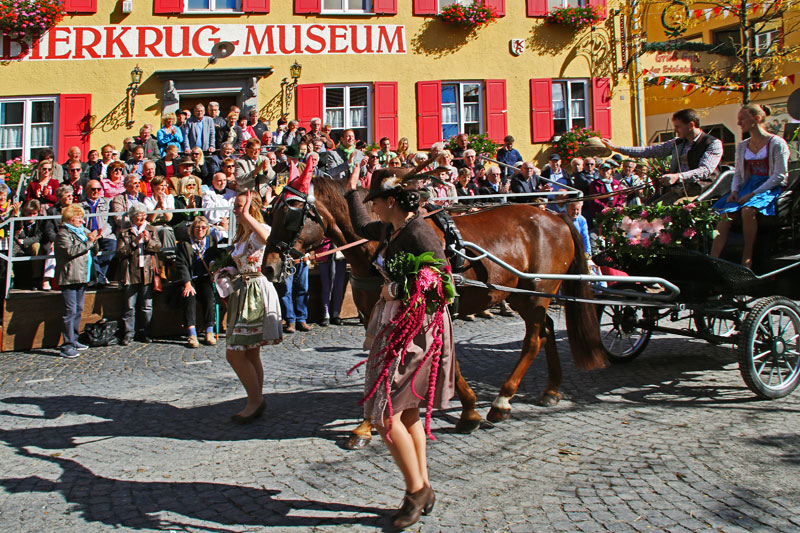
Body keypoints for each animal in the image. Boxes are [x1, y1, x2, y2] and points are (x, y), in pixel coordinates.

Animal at [262, 172, 608, 446]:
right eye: (269, 213)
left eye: (289, 215)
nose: (268, 267)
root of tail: (555, 217)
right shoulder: (376, 316)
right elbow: (385, 359)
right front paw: (367, 424)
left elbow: (438, 358)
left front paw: (467, 410)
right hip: (521, 296)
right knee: (546, 329)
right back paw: (551, 389)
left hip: (537, 293)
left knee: (534, 339)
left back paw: (502, 401)